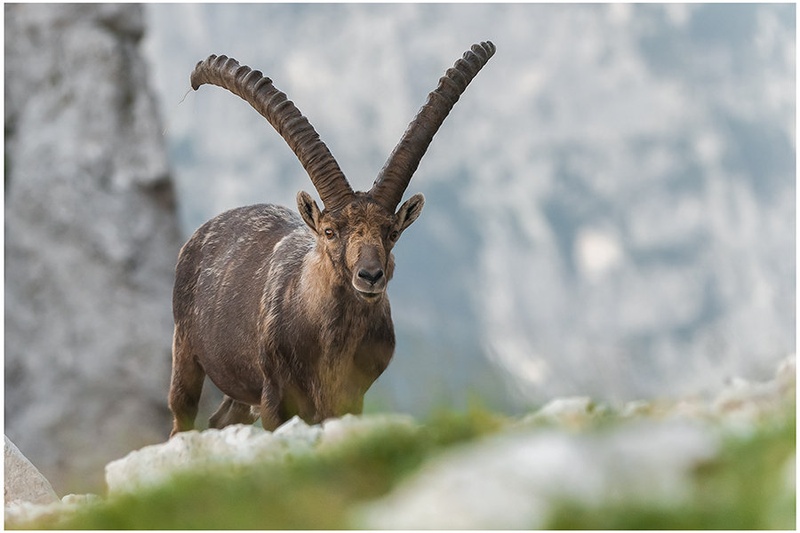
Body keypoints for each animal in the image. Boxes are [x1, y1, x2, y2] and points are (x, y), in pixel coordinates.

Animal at [168, 41, 495, 436]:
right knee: (182, 413)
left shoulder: (350, 400)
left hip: (240, 389)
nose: (370, 276)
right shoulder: (274, 398)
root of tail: (203, 232)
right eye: (329, 231)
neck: (330, 342)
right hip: (185, 348)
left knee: (221, 419)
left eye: (392, 232)